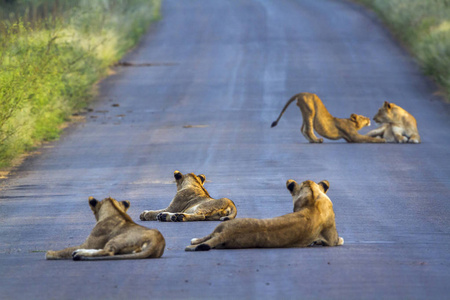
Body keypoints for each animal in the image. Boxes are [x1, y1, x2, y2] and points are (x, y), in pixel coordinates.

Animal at [185, 178, 342, 251]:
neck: (313, 198)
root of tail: (227, 233)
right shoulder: (331, 240)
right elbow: (338, 240)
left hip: (221, 229)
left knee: (207, 238)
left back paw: (193, 242)